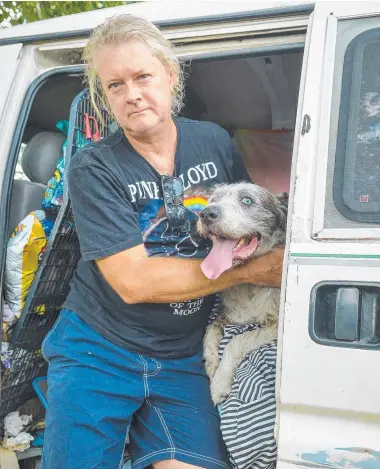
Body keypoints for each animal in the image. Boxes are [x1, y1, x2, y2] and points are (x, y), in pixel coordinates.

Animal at [197, 182, 286, 402]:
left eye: (247, 200)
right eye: (214, 199)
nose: (206, 213)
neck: (250, 286)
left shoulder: (276, 325)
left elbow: (237, 340)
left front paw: (220, 382)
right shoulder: (230, 315)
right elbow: (210, 329)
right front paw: (211, 363)